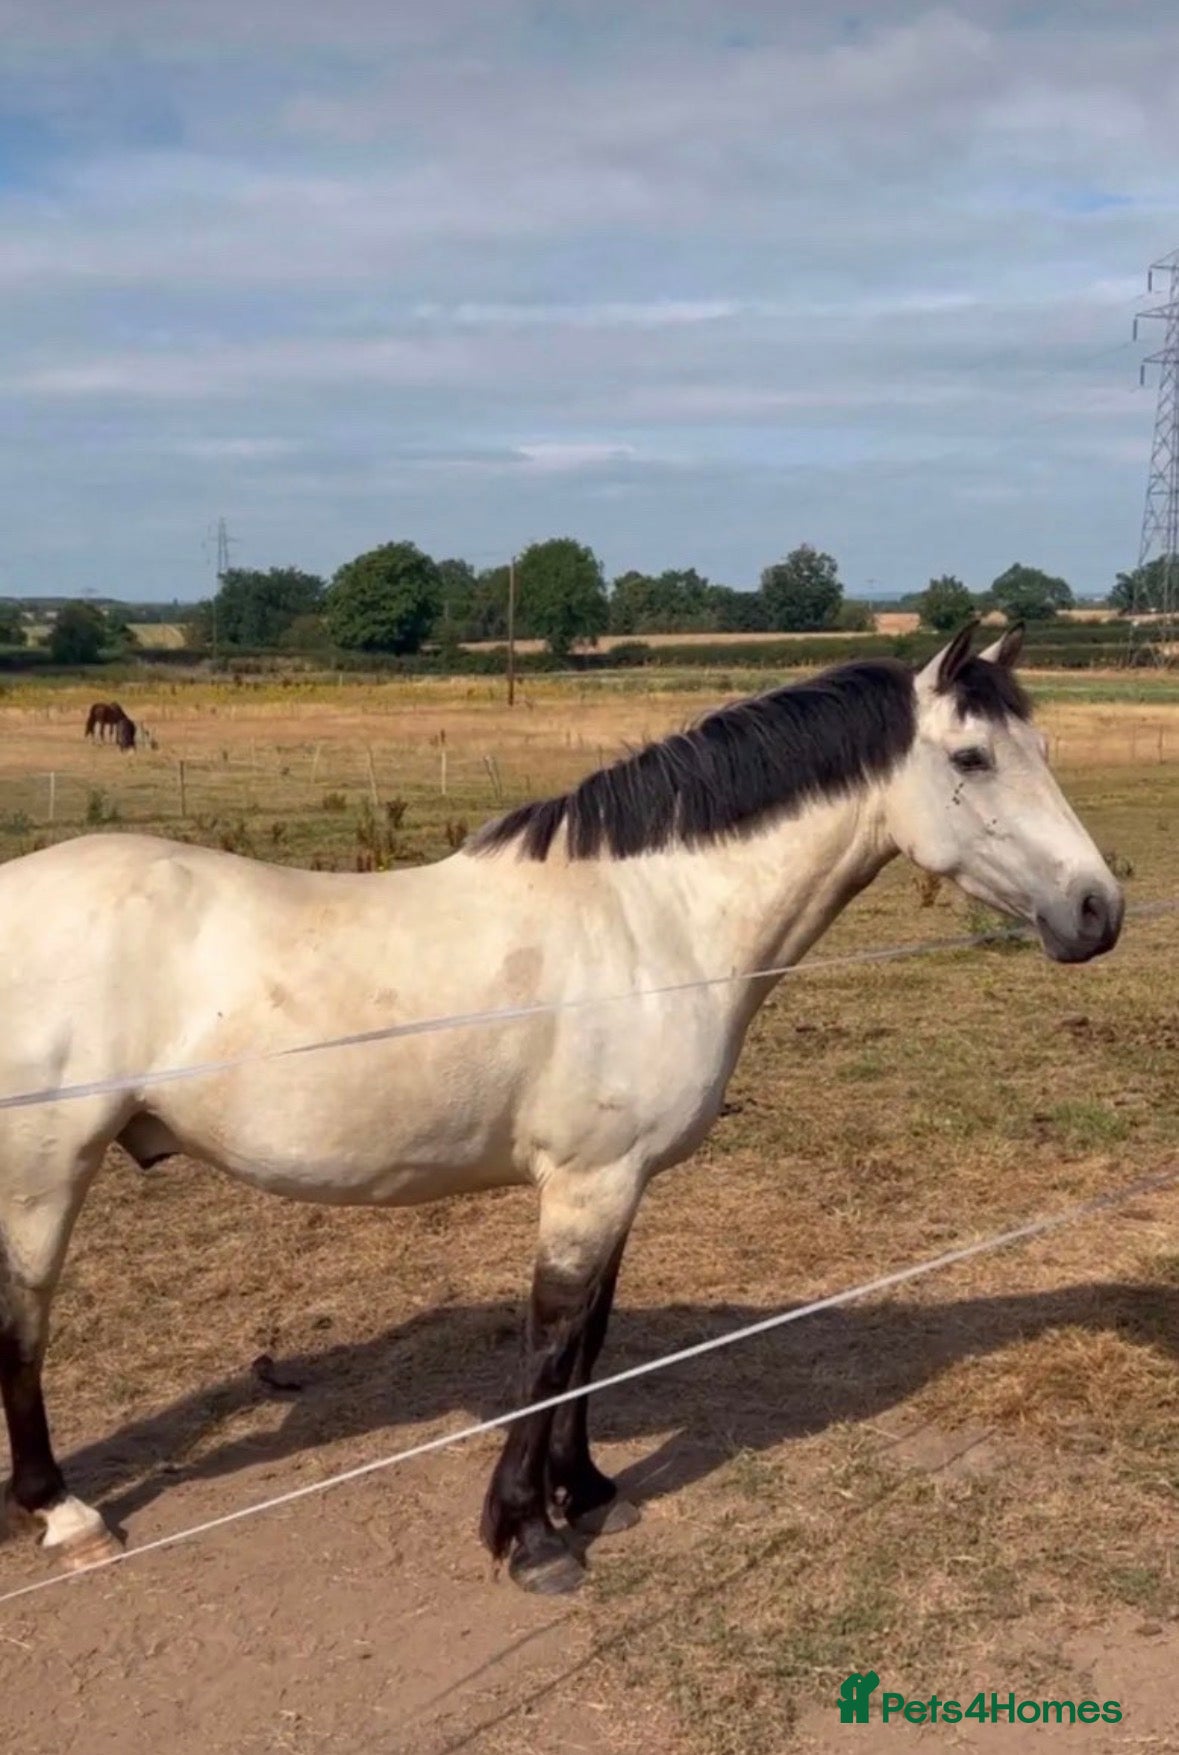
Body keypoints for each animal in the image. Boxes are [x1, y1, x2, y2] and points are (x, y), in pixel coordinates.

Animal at [0, 626, 1123, 1593]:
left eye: (1042, 747)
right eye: (972, 757)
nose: (1097, 910)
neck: (653, 923)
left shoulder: (621, 1181)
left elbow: (592, 1338)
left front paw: (583, 1492)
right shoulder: (586, 1182)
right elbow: (549, 1345)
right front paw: (527, 1534)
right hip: (45, 1172)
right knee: (24, 1325)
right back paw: (64, 1513)